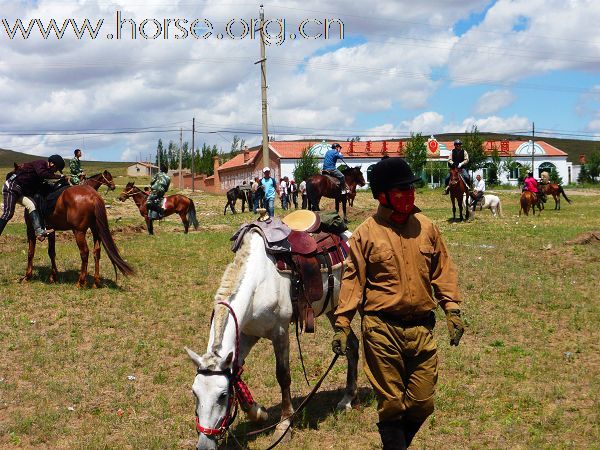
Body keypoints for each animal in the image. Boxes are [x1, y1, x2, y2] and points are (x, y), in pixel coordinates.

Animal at [185, 230, 358, 448]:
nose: (204, 444)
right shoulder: (248, 333)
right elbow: (237, 372)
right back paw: (347, 399)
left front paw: (284, 426)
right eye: (194, 393)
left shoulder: (280, 332)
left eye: (223, 395)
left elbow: (283, 376)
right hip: (335, 310)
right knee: (351, 344)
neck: (258, 283)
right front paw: (258, 413)